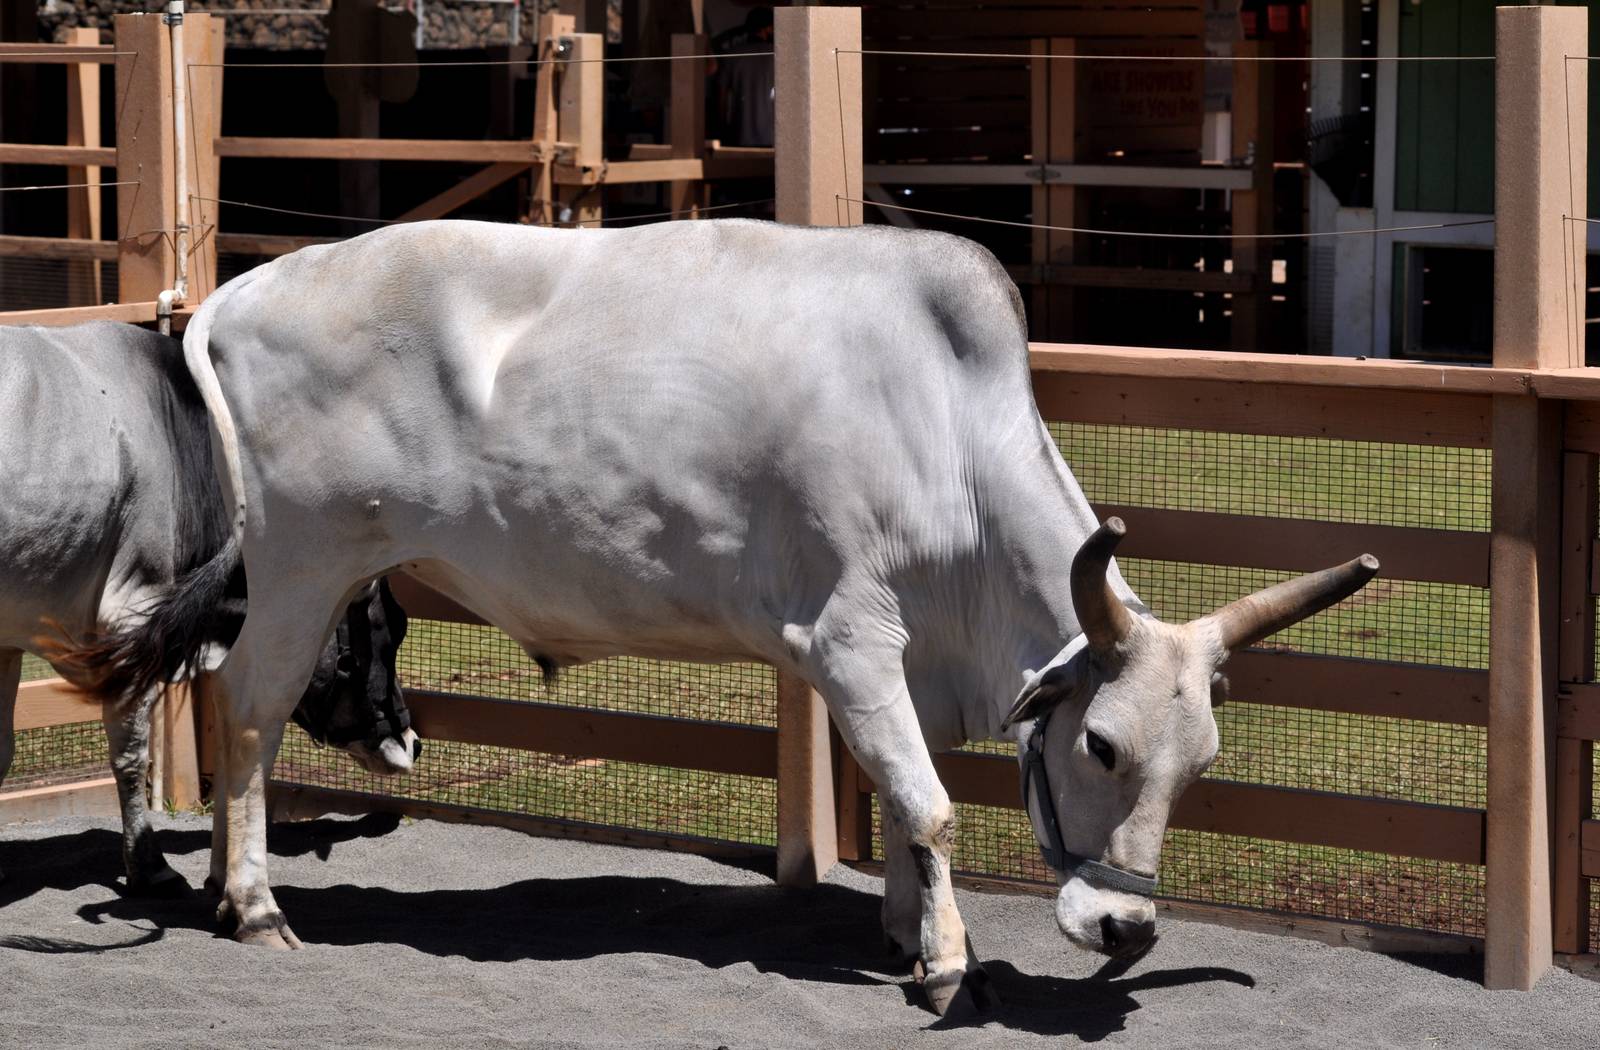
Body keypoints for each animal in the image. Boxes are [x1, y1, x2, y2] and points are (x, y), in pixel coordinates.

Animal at [0, 321, 418, 895]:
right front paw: (149, 865)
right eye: (386, 631)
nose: (409, 741)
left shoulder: (8, 640)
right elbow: (131, 754)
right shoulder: (129, 609)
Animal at [65, 221, 1376, 1015]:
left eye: (1198, 762)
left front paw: (904, 931)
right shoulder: (851, 640)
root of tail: (237, 292)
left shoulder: (880, 663)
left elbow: (897, 796)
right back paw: (254, 905)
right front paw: (946, 964)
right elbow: (929, 805)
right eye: (1099, 744)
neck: (943, 422)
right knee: (248, 715)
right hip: (304, 565)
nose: (1123, 929)